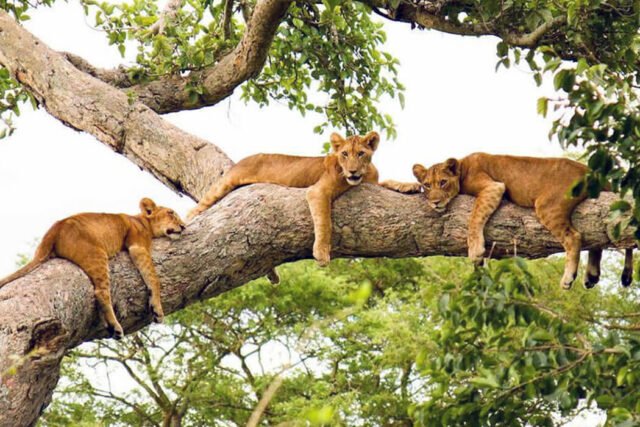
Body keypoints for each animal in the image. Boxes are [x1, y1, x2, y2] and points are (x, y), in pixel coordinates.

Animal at [0, 198, 186, 339]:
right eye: (171, 213)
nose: (184, 226)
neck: (142, 221)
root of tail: (55, 228)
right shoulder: (137, 245)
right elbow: (154, 278)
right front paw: (157, 309)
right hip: (97, 254)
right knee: (101, 292)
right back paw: (115, 327)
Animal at [187, 131, 381, 266]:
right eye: (345, 154)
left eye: (361, 154)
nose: (352, 171)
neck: (364, 175)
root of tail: (244, 159)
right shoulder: (317, 191)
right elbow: (325, 222)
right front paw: (321, 252)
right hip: (225, 184)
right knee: (196, 208)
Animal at [383, 153, 633, 290]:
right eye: (427, 185)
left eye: (443, 182)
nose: (435, 202)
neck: (462, 166)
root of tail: (590, 170)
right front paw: (395, 184)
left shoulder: (493, 187)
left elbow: (474, 217)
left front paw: (475, 250)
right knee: (596, 240)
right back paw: (591, 275)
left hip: (547, 206)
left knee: (575, 237)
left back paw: (568, 277)